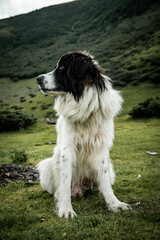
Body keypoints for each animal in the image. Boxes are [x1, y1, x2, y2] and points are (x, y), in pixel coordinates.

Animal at [36, 51, 131, 218]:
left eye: (62, 67)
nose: (38, 79)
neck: (83, 105)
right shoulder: (67, 148)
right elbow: (65, 182)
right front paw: (66, 209)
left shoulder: (101, 146)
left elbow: (105, 181)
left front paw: (114, 204)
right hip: (47, 166)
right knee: (61, 186)